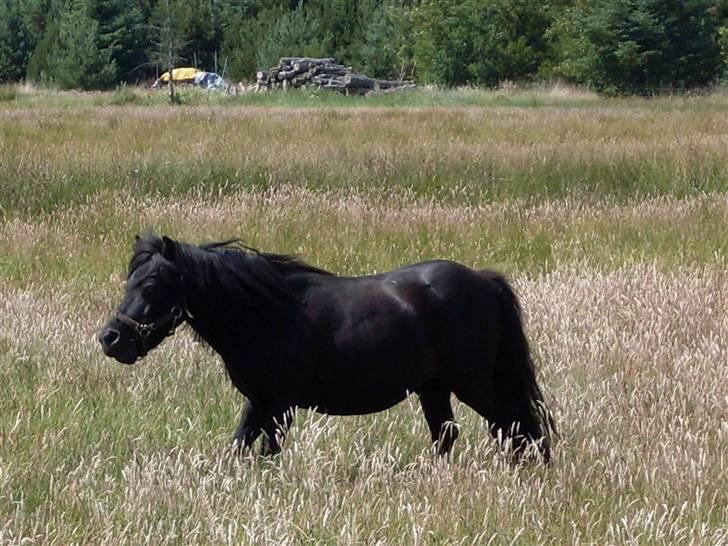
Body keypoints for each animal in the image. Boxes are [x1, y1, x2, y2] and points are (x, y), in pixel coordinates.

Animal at [99, 233, 556, 460]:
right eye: (129, 281)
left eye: (151, 285)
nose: (110, 338)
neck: (263, 313)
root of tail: (482, 280)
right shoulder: (258, 403)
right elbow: (237, 449)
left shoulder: (279, 405)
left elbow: (267, 454)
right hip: (435, 389)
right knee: (449, 435)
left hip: (472, 384)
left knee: (518, 427)